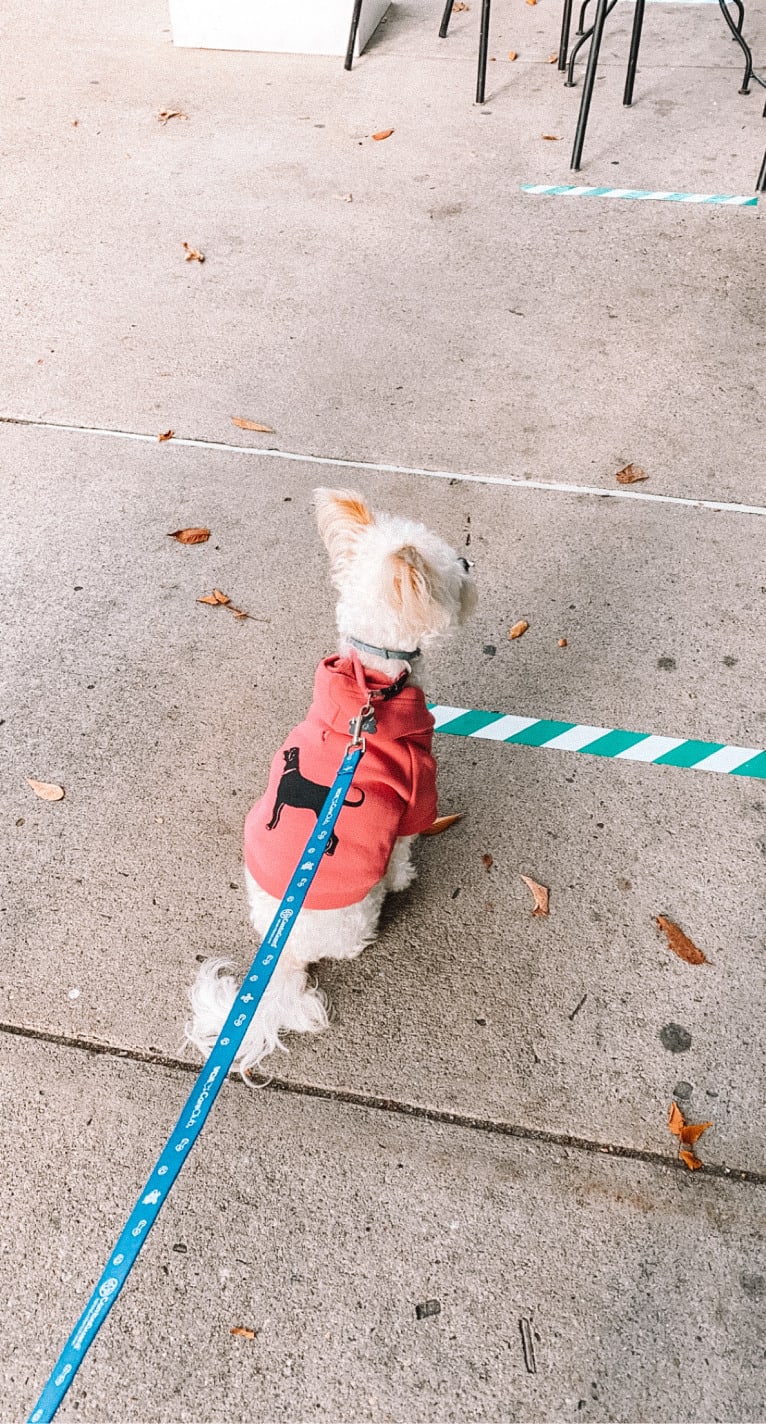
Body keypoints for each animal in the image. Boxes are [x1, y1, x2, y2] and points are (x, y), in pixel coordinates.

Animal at [183, 489, 469, 1076]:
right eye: (453, 568)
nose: (471, 562)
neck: (373, 682)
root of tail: (284, 954)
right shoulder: (415, 798)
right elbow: (403, 849)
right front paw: (404, 877)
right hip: (355, 911)